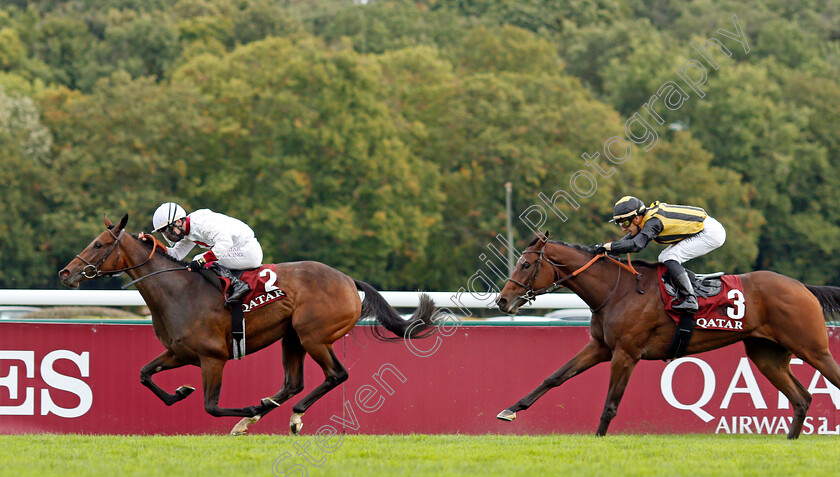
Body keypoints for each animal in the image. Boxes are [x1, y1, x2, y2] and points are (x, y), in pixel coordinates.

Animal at [59, 216, 440, 436]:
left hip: (314, 336)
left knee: (336, 375)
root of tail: (348, 280)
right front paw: (181, 392)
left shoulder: (213, 358)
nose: (65, 273)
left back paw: (288, 416)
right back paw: (263, 412)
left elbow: (211, 406)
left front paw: (247, 409)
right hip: (292, 338)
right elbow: (144, 374)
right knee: (293, 383)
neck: (177, 291)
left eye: (98, 244)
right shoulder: (180, 352)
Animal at [496, 232, 840, 436]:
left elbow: (611, 403)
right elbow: (555, 377)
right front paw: (510, 410)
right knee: (802, 398)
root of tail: (802, 287)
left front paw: (598, 438)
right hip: (766, 356)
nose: (502, 300)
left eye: (524, 264)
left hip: (813, 348)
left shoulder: (626, 354)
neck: (616, 290)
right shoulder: (600, 347)